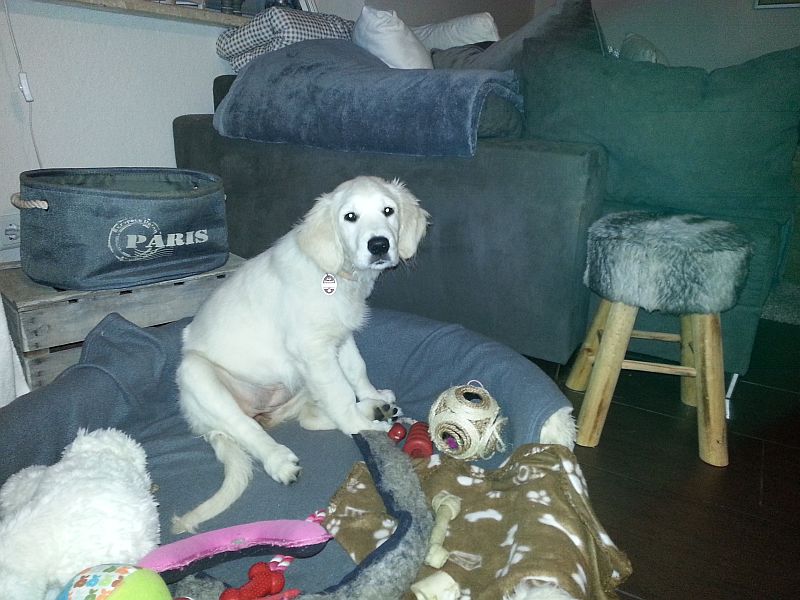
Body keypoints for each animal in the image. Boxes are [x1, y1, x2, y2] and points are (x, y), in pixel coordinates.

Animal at [172, 176, 429, 534]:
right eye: (350, 217)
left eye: (388, 211)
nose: (379, 245)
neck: (336, 275)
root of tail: (200, 422)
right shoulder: (314, 350)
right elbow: (340, 394)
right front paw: (359, 426)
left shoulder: (340, 337)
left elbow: (356, 369)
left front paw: (372, 396)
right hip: (197, 374)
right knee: (246, 428)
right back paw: (281, 460)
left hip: (299, 385)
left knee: (307, 417)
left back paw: (375, 409)